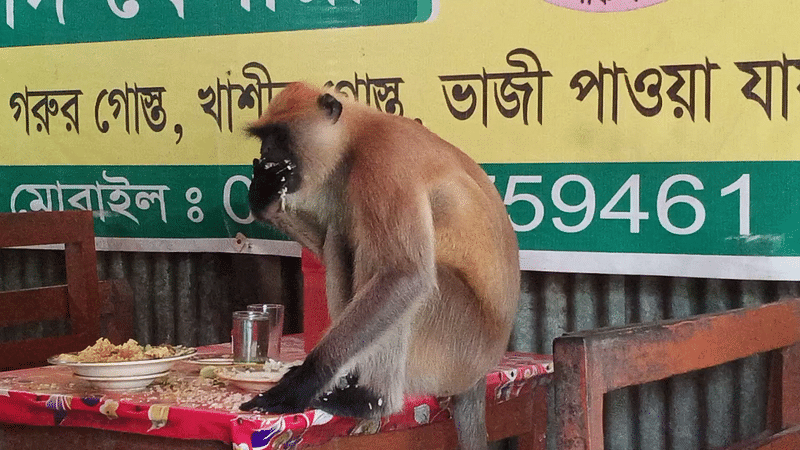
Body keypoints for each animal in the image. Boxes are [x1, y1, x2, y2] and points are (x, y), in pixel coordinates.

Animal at [241, 81, 520, 450]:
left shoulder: (385, 159)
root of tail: (481, 372)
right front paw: (264, 198)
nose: (267, 154)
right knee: (339, 240)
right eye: (264, 138)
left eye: (280, 136)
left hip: (458, 347)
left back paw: (372, 400)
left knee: (397, 273)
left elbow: (406, 275)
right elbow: (325, 240)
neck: (357, 138)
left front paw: (301, 383)